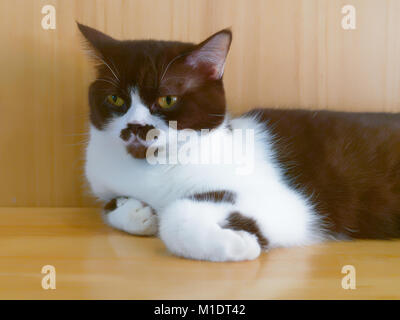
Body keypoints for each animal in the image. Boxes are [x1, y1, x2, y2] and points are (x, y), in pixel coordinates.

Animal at [77, 23, 400, 262]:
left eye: (168, 99)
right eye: (115, 99)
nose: (135, 126)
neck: (150, 169)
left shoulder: (292, 204)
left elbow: (179, 211)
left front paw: (237, 242)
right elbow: (110, 205)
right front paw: (136, 211)